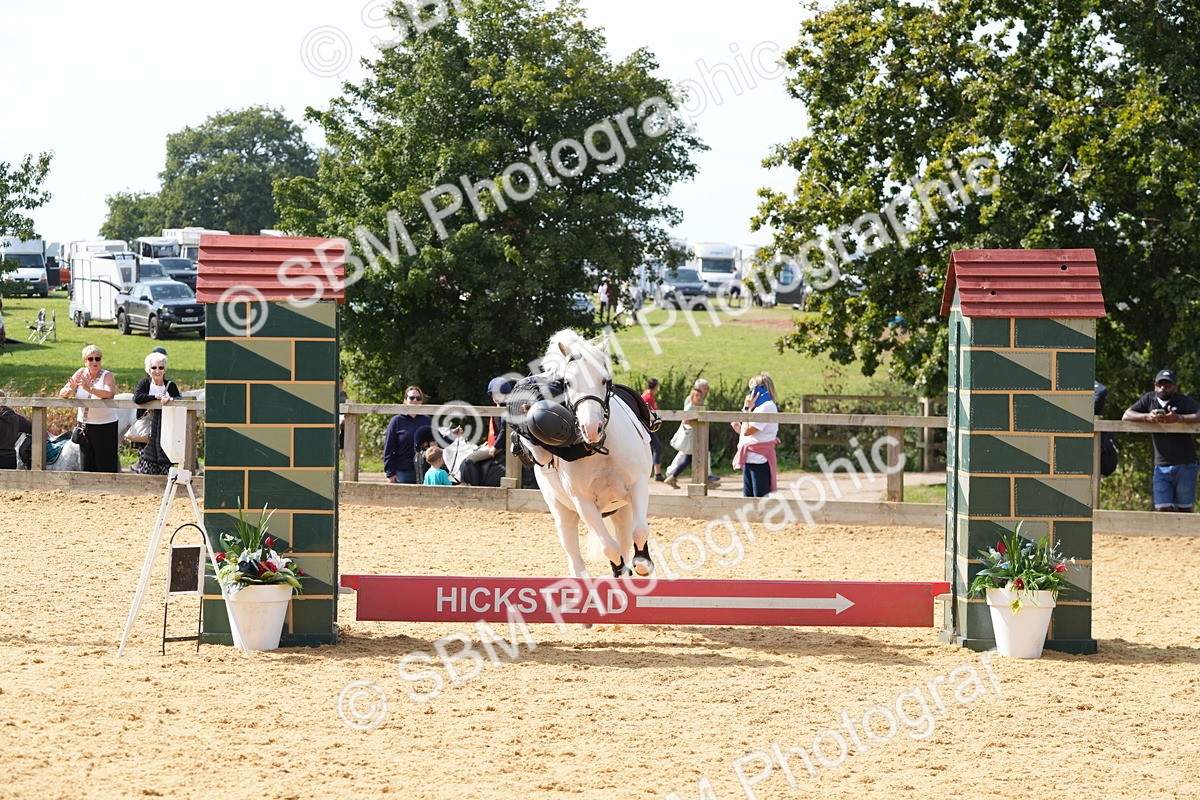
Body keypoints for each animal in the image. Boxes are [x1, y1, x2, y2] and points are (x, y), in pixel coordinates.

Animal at [517, 329, 654, 579]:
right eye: (567, 382)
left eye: (604, 380)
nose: (591, 428)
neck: (603, 451)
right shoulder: (584, 503)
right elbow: (609, 548)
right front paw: (620, 568)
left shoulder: (637, 486)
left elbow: (639, 531)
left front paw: (642, 563)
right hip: (562, 513)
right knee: (576, 556)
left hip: (622, 509)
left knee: (625, 536)